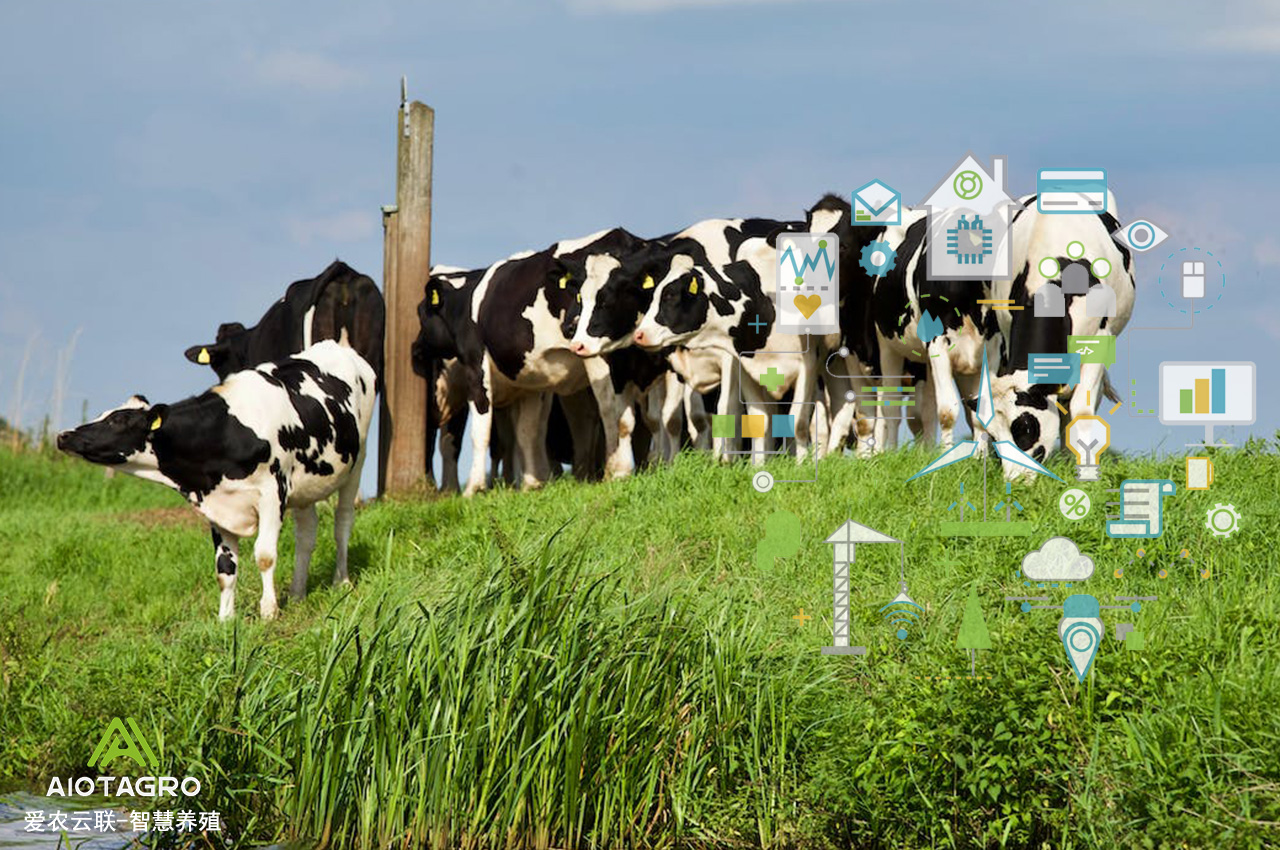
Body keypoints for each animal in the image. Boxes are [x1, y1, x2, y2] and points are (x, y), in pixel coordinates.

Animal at [57, 343, 373, 622]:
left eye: (118, 421)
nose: (63, 435)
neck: (227, 432)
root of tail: (337, 346)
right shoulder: (218, 504)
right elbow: (225, 569)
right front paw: (225, 619)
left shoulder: (272, 494)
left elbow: (265, 556)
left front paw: (268, 612)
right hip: (306, 487)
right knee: (307, 534)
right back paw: (297, 594)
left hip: (356, 463)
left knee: (343, 523)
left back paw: (341, 582)